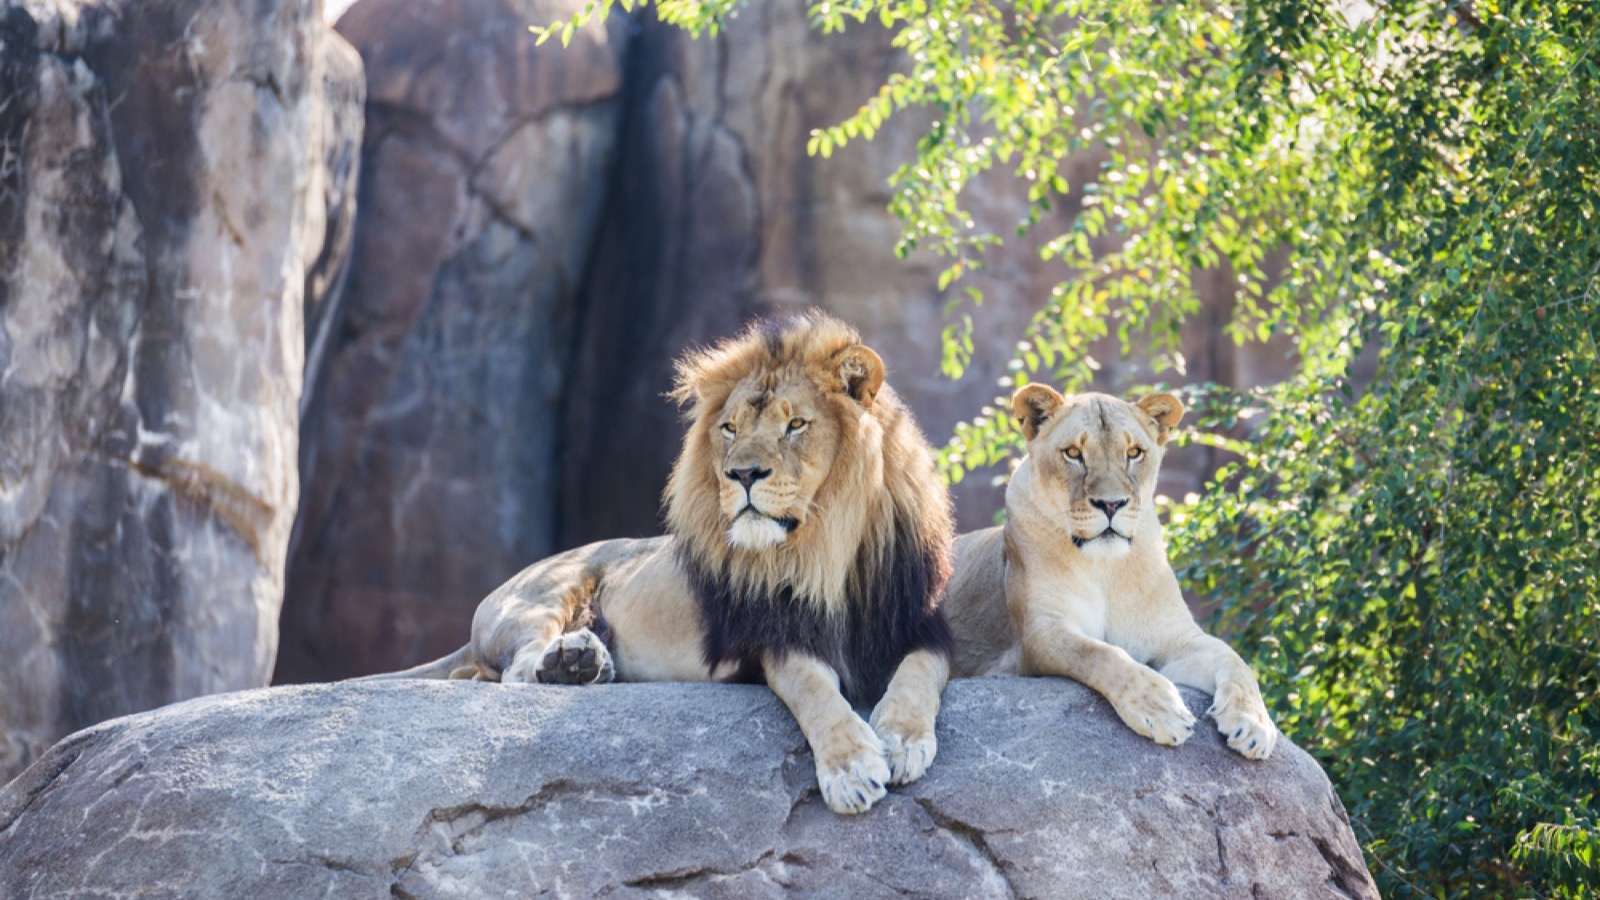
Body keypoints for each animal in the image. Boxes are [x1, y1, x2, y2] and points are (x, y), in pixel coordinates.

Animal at [375, 312, 956, 814]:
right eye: (729, 428)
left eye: (795, 424)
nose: (742, 474)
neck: (828, 550)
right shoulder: (772, 637)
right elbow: (813, 689)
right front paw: (852, 768)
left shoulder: (922, 624)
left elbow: (922, 672)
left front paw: (902, 739)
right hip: (545, 591)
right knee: (515, 669)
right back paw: (570, 662)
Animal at [941, 384, 1278, 759]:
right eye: (1073, 453)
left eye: (1134, 453)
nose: (1111, 504)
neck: (1106, 566)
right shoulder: (1039, 634)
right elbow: (1101, 654)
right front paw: (1160, 708)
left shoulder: (1174, 637)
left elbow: (1235, 660)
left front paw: (1255, 724)